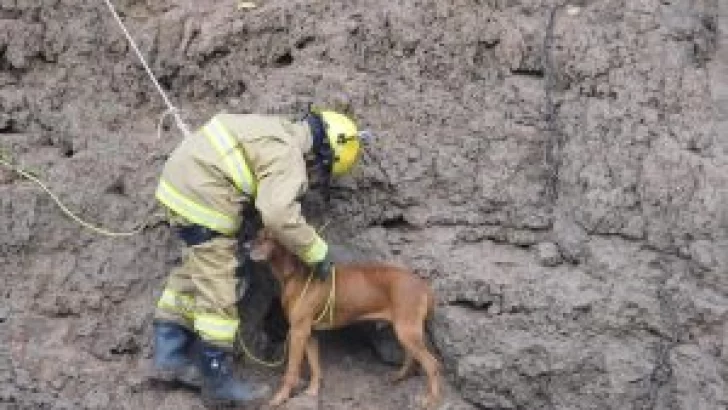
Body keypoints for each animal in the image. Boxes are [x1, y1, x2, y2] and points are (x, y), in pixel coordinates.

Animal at [250, 229, 440, 408]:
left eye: (267, 238)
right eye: (258, 234)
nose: (246, 247)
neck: (296, 275)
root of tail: (423, 285)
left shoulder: (298, 332)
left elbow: (291, 371)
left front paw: (280, 397)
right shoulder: (309, 334)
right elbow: (315, 367)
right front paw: (313, 390)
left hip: (406, 331)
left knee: (432, 365)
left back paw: (431, 400)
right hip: (406, 331)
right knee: (411, 356)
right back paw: (399, 377)